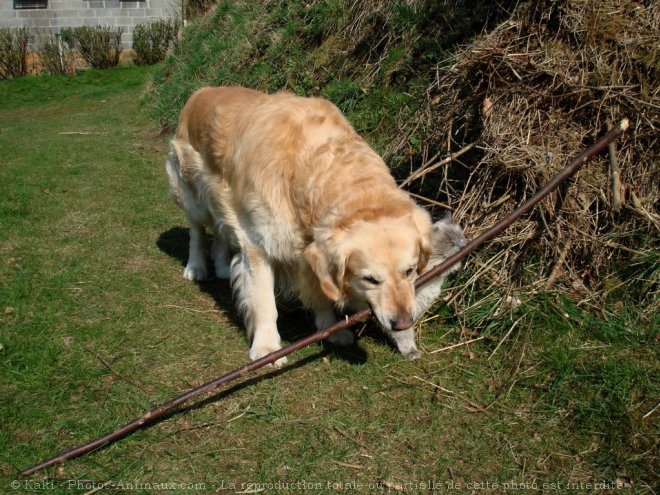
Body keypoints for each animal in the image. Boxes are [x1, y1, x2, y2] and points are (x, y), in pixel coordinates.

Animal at [165, 86, 444, 364]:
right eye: (370, 279)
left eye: (410, 271)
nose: (403, 323)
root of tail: (202, 91)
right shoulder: (258, 244)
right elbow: (264, 301)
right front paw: (266, 348)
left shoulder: (311, 253)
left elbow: (320, 291)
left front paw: (331, 329)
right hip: (190, 188)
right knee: (197, 229)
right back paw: (196, 267)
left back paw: (222, 265)